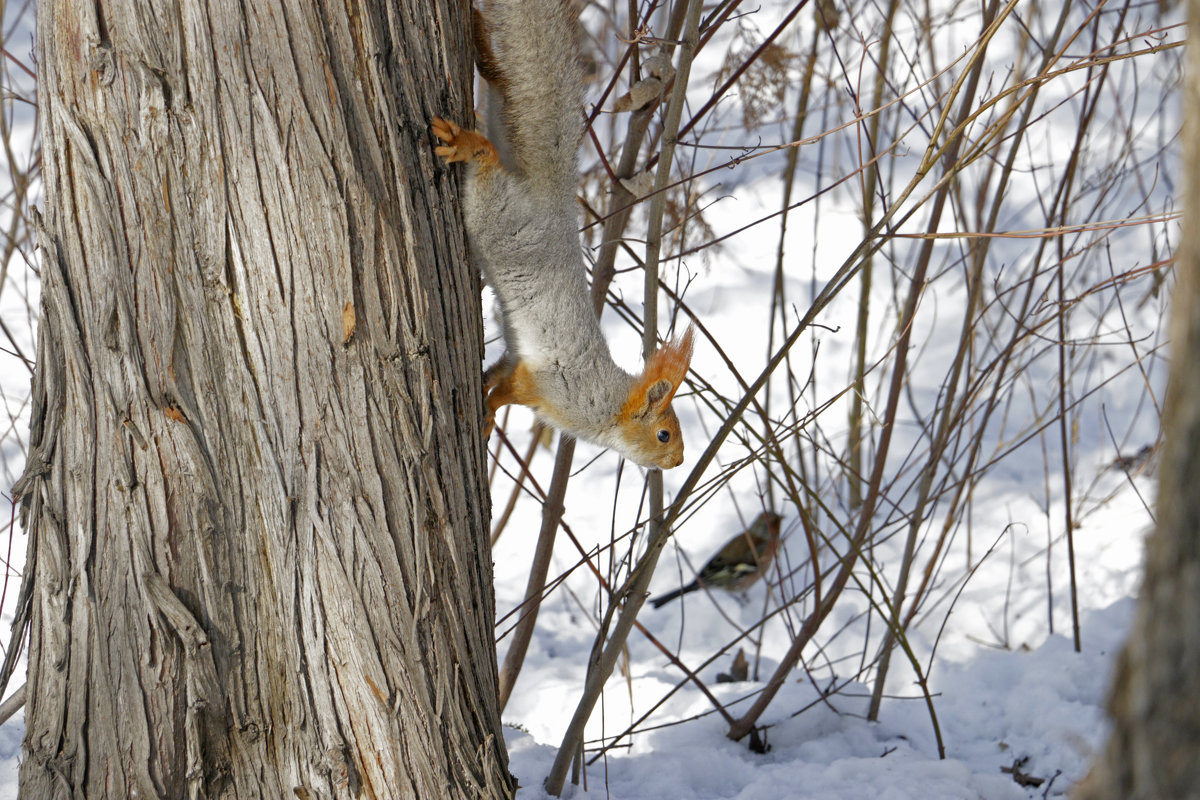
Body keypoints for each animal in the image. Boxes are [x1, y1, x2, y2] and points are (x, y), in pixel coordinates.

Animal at [432, 0, 696, 470]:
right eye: (664, 434)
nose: (679, 462)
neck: (606, 404)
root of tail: (550, 197)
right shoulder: (549, 386)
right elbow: (507, 392)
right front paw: (487, 410)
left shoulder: (516, 358)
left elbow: (497, 374)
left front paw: (483, 398)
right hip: (496, 217)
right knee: (485, 159)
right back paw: (466, 144)